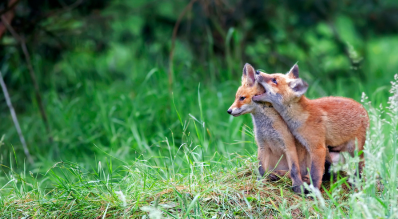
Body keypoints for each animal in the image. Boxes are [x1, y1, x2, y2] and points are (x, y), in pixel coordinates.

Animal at [227, 63, 332, 193]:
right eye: (236, 97)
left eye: (242, 98)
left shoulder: (288, 145)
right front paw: (259, 184)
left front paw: (298, 187)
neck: (266, 127)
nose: (229, 111)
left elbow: (294, 170)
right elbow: (261, 169)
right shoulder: (262, 146)